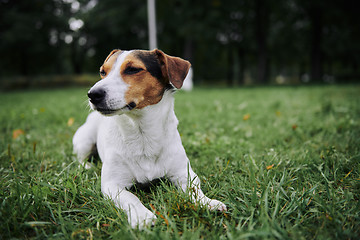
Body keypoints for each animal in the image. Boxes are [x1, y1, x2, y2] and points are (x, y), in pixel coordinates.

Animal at [71, 48, 226, 229]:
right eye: (103, 72)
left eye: (133, 69)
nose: (92, 94)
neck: (142, 134)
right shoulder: (112, 185)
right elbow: (131, 198)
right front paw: (142, 215)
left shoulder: (184, 174)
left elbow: (194, 189)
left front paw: (207, 202)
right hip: (84, 140)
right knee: (80, 158)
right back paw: (87, 166)